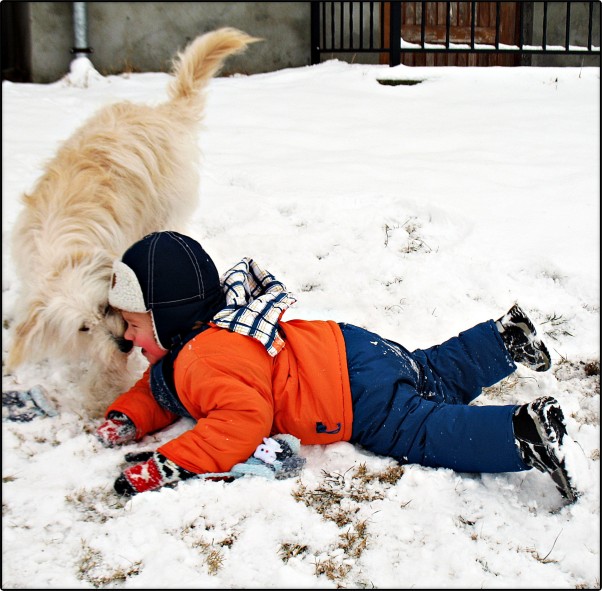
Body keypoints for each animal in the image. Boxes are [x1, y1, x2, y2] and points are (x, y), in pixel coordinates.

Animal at [5, 26, 258, 416]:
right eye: (83, 328)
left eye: (107, 306)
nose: (124, 345)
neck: (62, 248)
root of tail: (158, 113)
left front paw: (101, 392)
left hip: (165, 207)